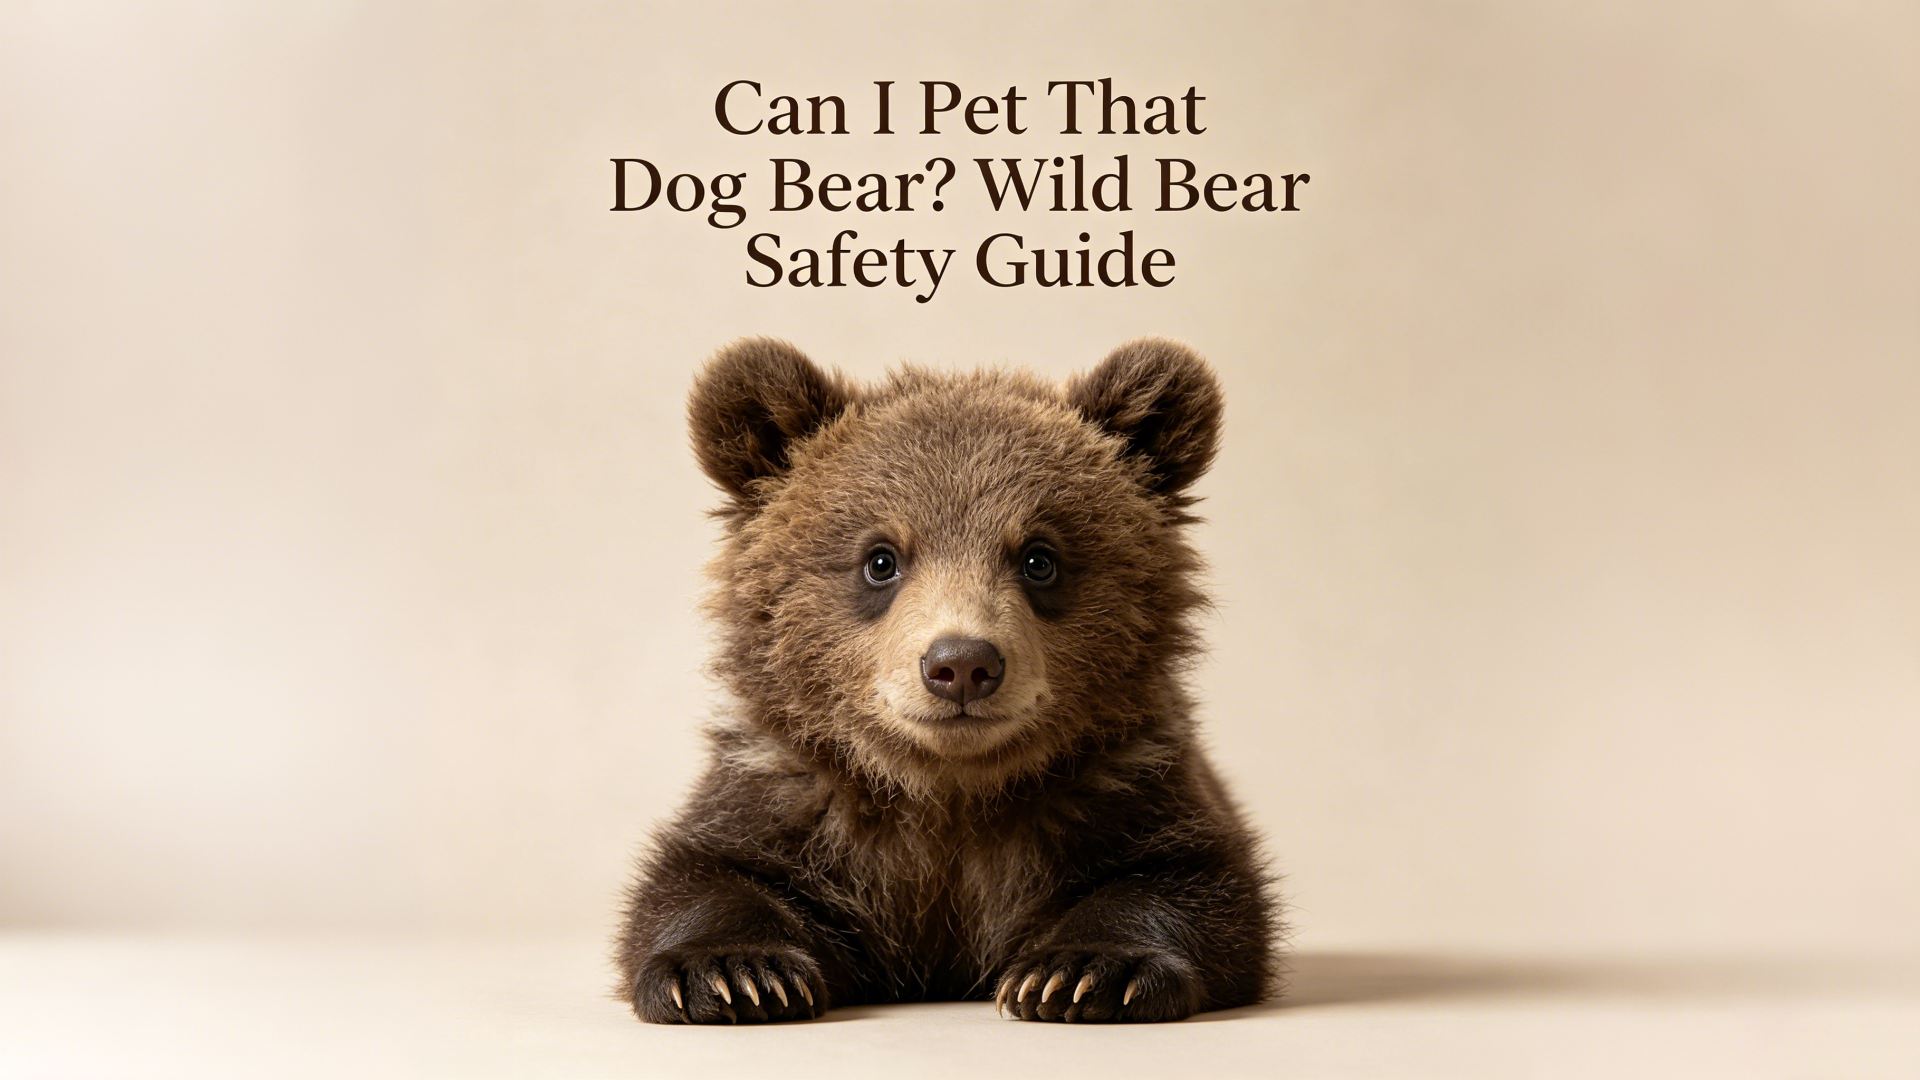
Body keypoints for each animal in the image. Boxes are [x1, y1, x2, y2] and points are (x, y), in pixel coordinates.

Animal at [615, 337, 1278, 1024]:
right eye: (880, 559)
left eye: (1039, 558)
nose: (961, 664)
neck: (948, 791)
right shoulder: (787, 792)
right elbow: (709, 876)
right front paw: (728, 970)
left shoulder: (1120, 785)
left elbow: (1189, 880)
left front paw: (1084, 970)